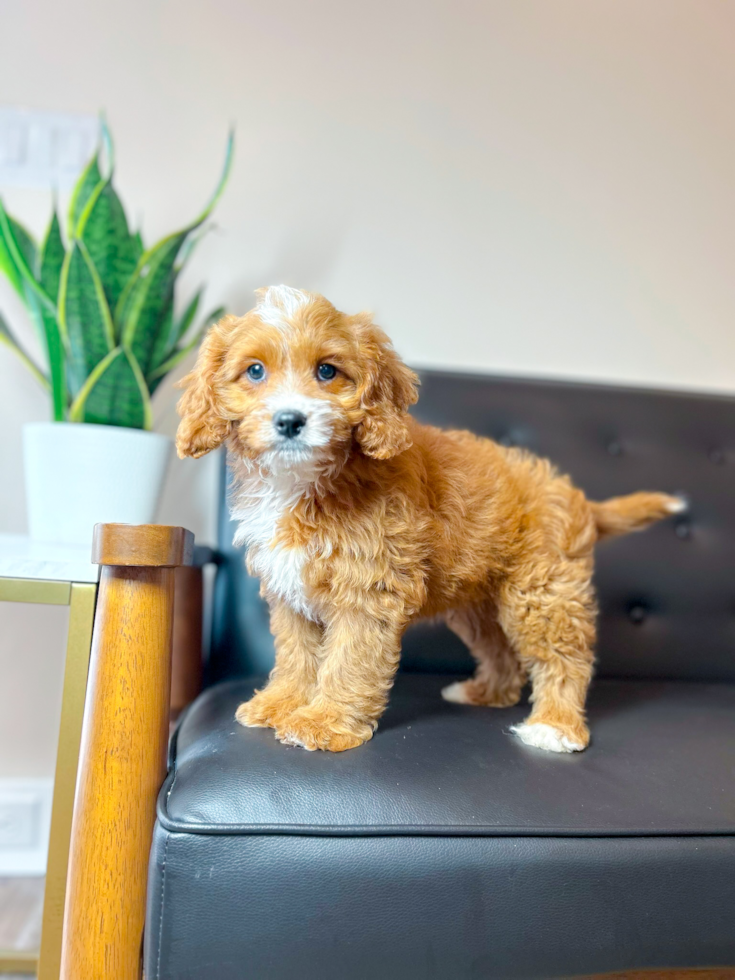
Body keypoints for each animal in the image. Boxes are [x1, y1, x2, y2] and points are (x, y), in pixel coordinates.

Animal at [178, 288, 684, 756]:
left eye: (327, 371)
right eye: (254, 371)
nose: (290, 420)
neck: (304, 480)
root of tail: (574, 494)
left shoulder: (368, 590)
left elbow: (348, 659)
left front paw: (323, 722)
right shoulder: (290, 591)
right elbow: (296, 654)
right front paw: (281, 703)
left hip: (543, 592)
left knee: (564, 657)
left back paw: (555, 725)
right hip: (478, 605)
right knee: (502, 653)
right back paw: (486, 692)